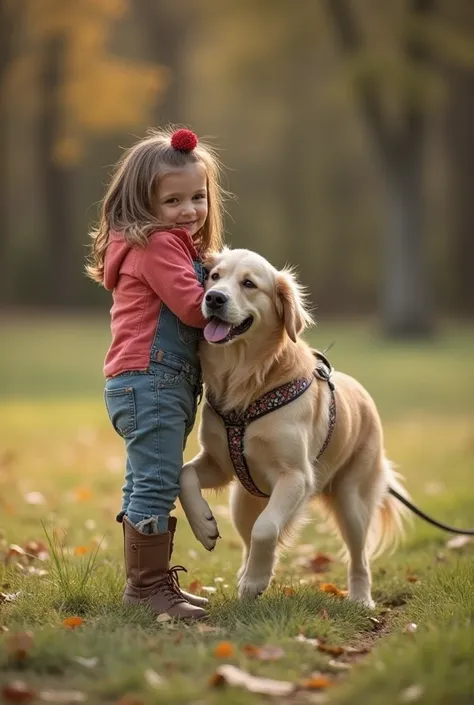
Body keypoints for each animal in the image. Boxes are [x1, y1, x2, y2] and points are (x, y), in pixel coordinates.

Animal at [180, 248, 410, 604]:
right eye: (214, 277)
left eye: (249, 284)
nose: (214, 298)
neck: (249, 381)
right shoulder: (219, 463)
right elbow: (184, 475)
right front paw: (203, 526)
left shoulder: (296, 476)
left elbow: (267, 529)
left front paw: (256, 582)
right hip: (242, 501)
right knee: (247, 538)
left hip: (352, 500)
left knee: (358, 556)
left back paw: (360, 597)